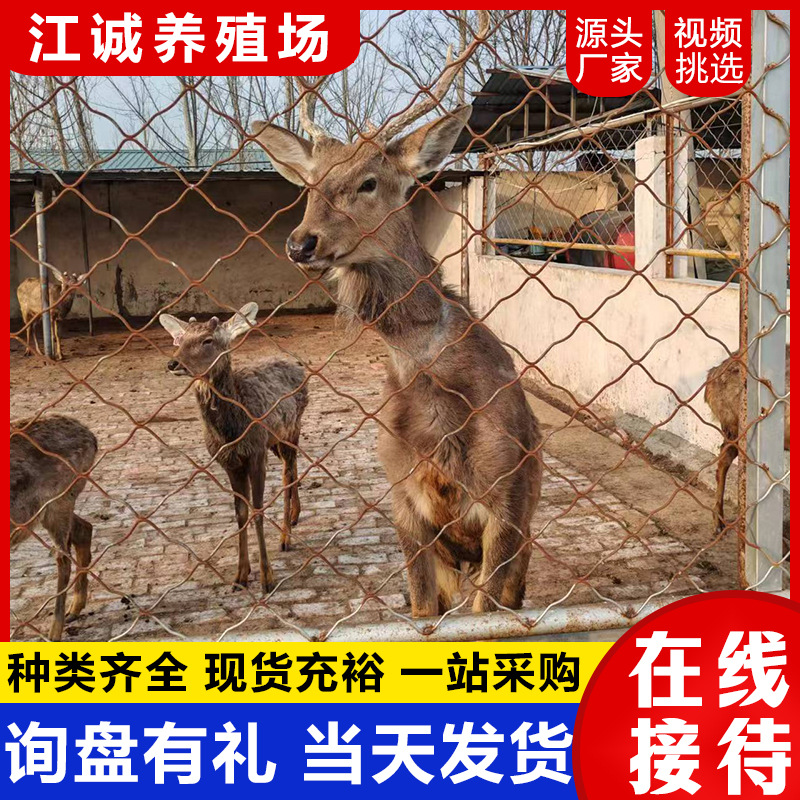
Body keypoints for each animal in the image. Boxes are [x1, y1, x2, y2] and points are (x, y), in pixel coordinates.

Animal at [11, 415, 97, 641]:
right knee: (84, 528)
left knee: (63, 557)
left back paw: (54, 632)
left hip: (58, 500)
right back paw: (74, 609)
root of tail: (92, 438)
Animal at [159, 303, 308, 593]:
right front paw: (241, 575)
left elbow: (258, 511)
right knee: (293, 469)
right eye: (179, 339)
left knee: (288, 474)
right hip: (276, 441)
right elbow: (240, 513)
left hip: (291, 430)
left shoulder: (256, 452)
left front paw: (267, 578)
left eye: (207, 340)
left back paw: (286, 536)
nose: (173, 363)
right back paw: (295, 516)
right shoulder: (229, 461)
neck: (231, 432)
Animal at [251, 11, 543, 617]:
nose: (300, 243)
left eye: (369, 182)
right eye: (309, 187)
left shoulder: (505, 499)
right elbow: (421, 611)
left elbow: (486, 612)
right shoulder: (402, 497)